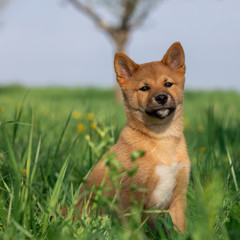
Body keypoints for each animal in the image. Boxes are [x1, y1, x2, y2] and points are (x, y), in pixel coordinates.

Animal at [78, 41, 190, 232]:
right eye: (144, 88)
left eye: (168, 84)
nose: (161, 98)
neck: (161, 138)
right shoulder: (132, 197)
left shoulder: (178, 197)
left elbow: (180, 229)